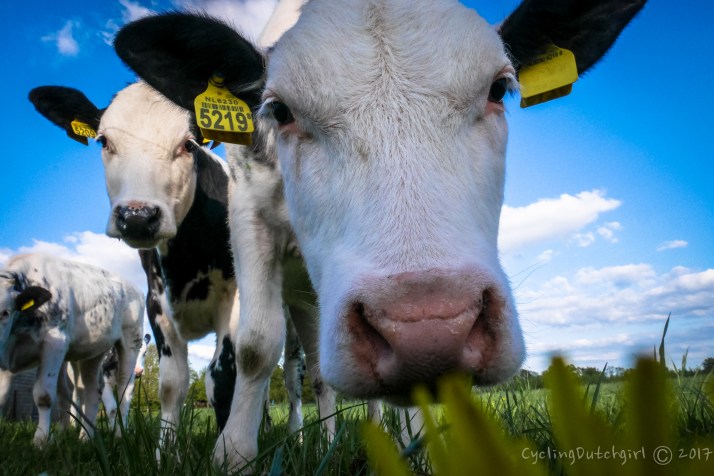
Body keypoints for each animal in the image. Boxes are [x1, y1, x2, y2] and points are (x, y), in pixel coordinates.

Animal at [0, 253, 143, 445]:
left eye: (5, 312)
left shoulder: (55, 342)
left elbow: (44, 395)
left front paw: (41, 440)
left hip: (132, 340)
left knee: (124, 389)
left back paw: (120, 435)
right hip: (93, 352)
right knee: (92, 391)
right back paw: (86, 437)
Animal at [113, 0, 646, 468]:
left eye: (499, 89)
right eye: (279, 111)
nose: (427, 331)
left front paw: (421, 451)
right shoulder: (248, 214)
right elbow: (255, 345)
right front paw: (235, 456)